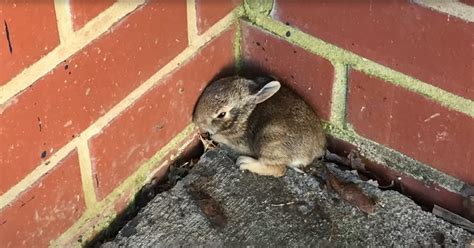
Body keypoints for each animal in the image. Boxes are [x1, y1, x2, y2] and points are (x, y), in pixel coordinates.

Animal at [193, 75, 326, 176]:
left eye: (222, 114)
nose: (196, 120)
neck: (245, 115)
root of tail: (314, 152)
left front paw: (215, 137)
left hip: (270, 140)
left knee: (279, 169)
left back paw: (244, 162)